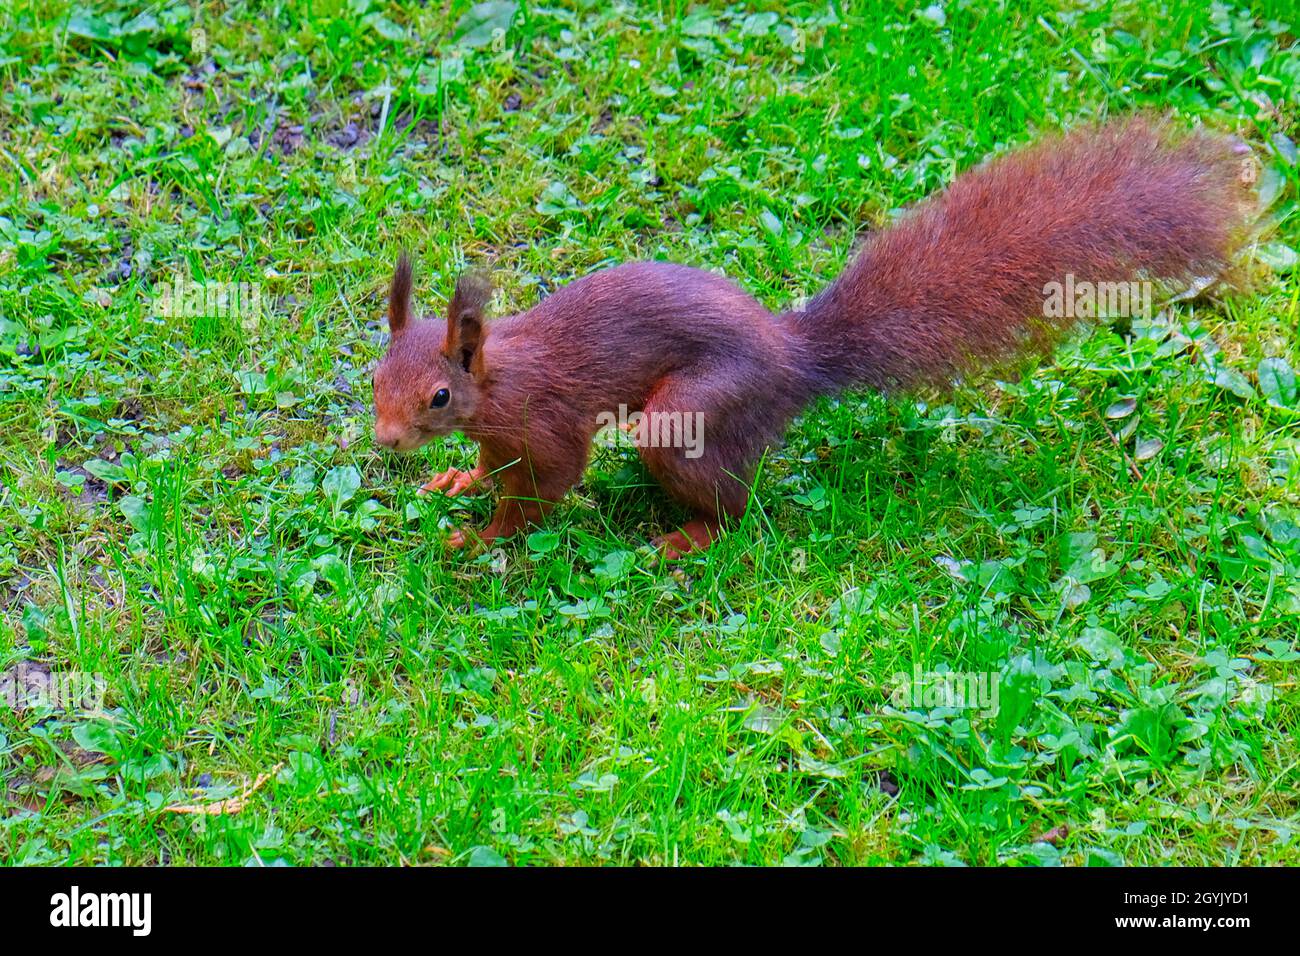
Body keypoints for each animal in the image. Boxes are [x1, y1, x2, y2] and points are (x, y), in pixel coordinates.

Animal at [372, 117, 1256, 558]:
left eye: (439, 395)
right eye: (373, 379)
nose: (384, 440)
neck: (499, 379)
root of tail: (795, 363)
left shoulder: (548, 422)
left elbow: (547, 487)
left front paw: (480, 537)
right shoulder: (502, 434)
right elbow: (494, 470)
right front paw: (456, 483)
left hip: (693, 414)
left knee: (737, 506)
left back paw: (688, 538)